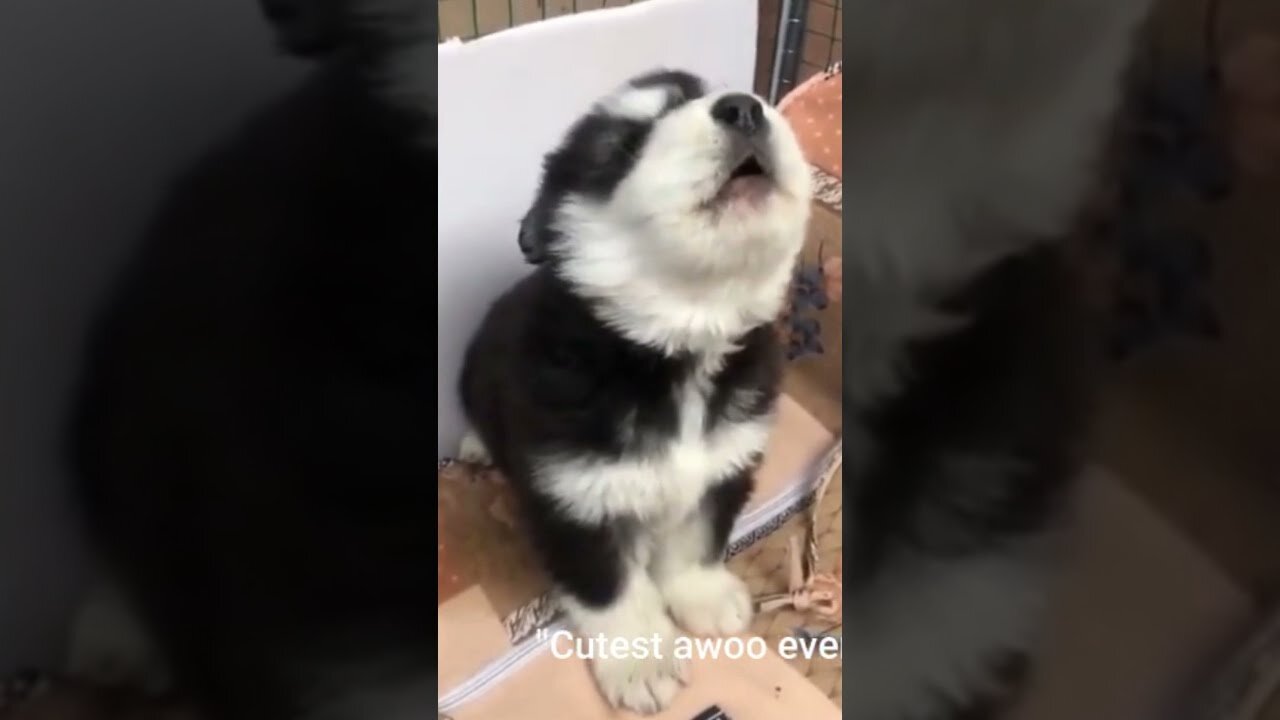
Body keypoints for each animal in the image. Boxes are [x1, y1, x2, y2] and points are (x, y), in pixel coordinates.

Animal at [460, 68, 808, 712]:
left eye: (711, 92)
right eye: (625, 145)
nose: (744, 108)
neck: (680, 340)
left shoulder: (725, 463)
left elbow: (697, 539)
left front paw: (703, 596)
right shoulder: (573, 500)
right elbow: (612, 587)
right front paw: (642, 659)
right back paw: (471, 444)